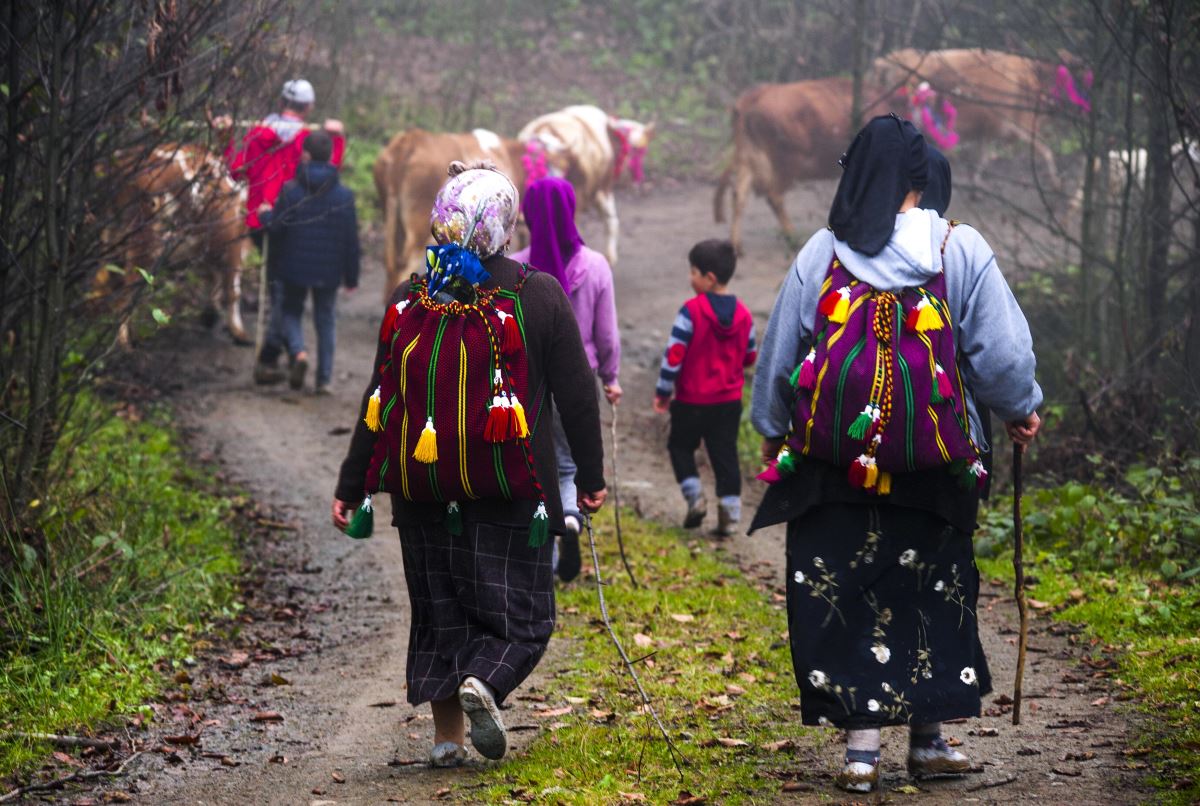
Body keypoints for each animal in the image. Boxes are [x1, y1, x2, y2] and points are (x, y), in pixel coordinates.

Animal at [104, 145, 249, 345]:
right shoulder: (233, 239)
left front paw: (211, 314)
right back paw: (124, 344)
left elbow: (216, 278)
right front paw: (239, 332)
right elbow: (233, 289)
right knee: (126, 294)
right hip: (146, 239)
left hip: (116, 235)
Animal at [715, 75, 888, 253]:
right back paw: (792, 237)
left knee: (739, 195)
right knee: (774, 196)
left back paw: (736, 245)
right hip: (788, 162)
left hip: (749, 156)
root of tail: (753, 97)